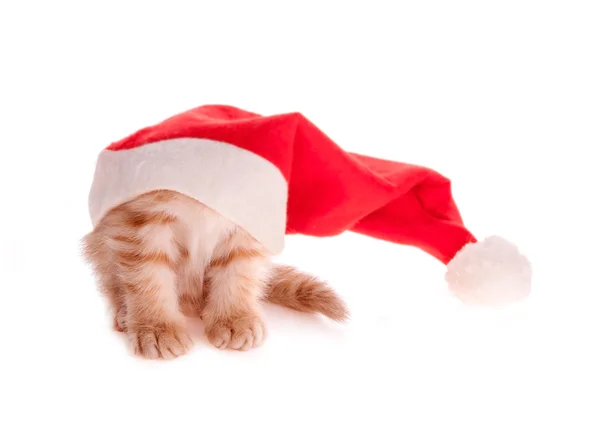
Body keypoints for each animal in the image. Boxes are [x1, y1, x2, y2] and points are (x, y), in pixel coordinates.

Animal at [82, 189, 350, 360]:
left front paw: (234, 318)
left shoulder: (250, 222)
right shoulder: (141, 220)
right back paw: (124, 313)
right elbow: (148, 277)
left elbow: (239, 272)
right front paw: (156, 327)